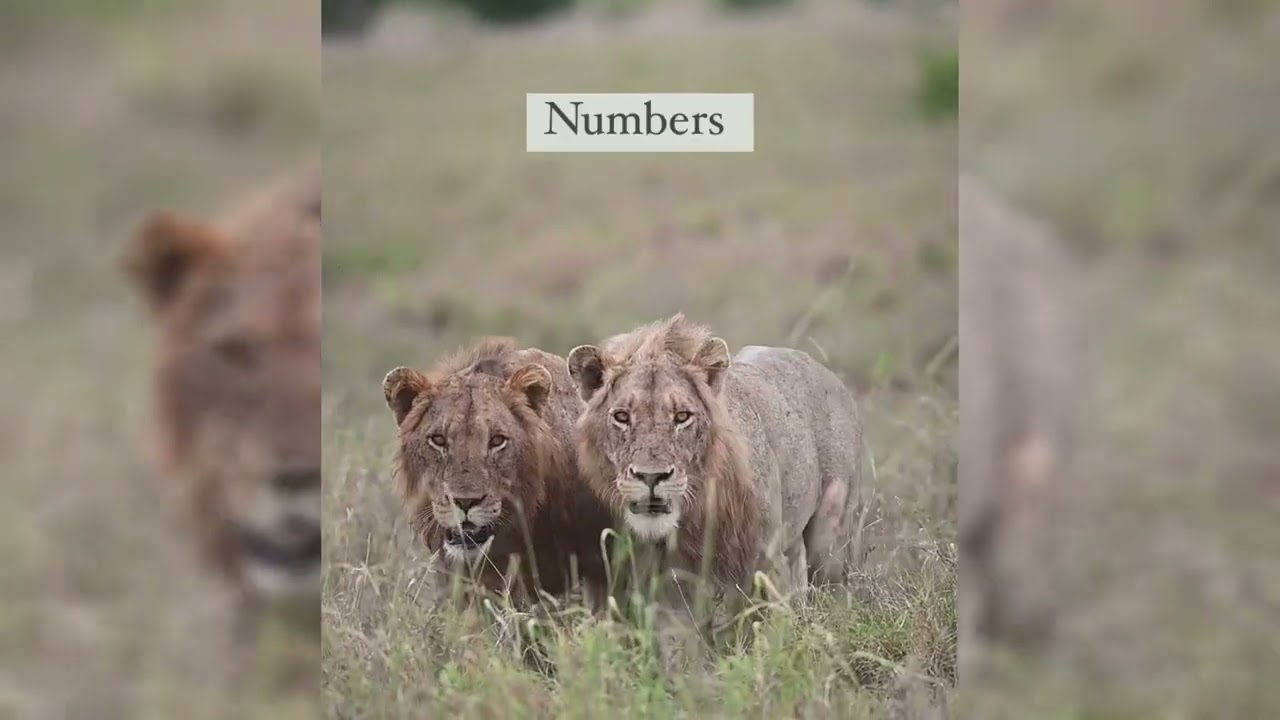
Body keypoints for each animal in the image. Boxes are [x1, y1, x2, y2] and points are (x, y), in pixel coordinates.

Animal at [566, 314, 864, 604]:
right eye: (622, 416)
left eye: (682, 416)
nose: (651, 477)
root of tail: (821, 368)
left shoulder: (764, 562)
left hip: (830, 541)